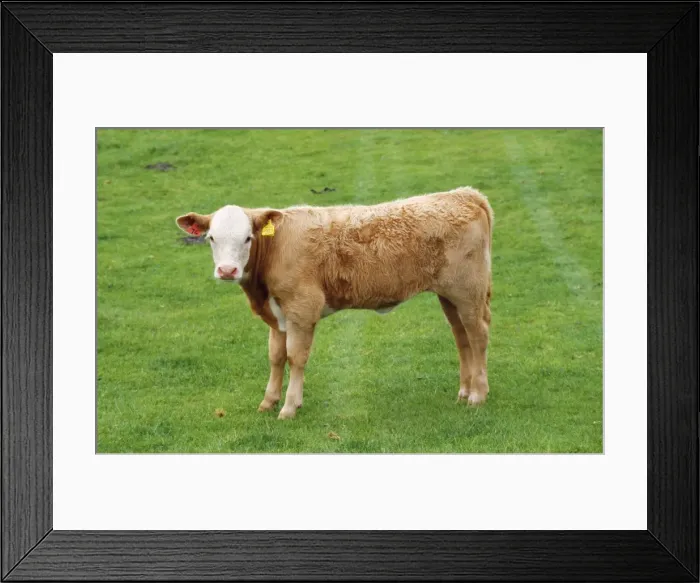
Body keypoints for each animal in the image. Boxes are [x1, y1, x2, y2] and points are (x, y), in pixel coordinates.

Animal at [176, 186, 493, 420]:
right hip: (449, 297)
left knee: (478, 335)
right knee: (462, 337)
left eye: (247, 238)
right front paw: (269, 401)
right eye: (211, 238)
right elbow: (276, 357)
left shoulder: (303, 309)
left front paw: (289, 407)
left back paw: (478, 395)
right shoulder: (277, 316)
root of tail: (464, 194)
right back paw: (464, 392)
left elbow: (295, 357)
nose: (227, 270)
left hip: (468, 292)